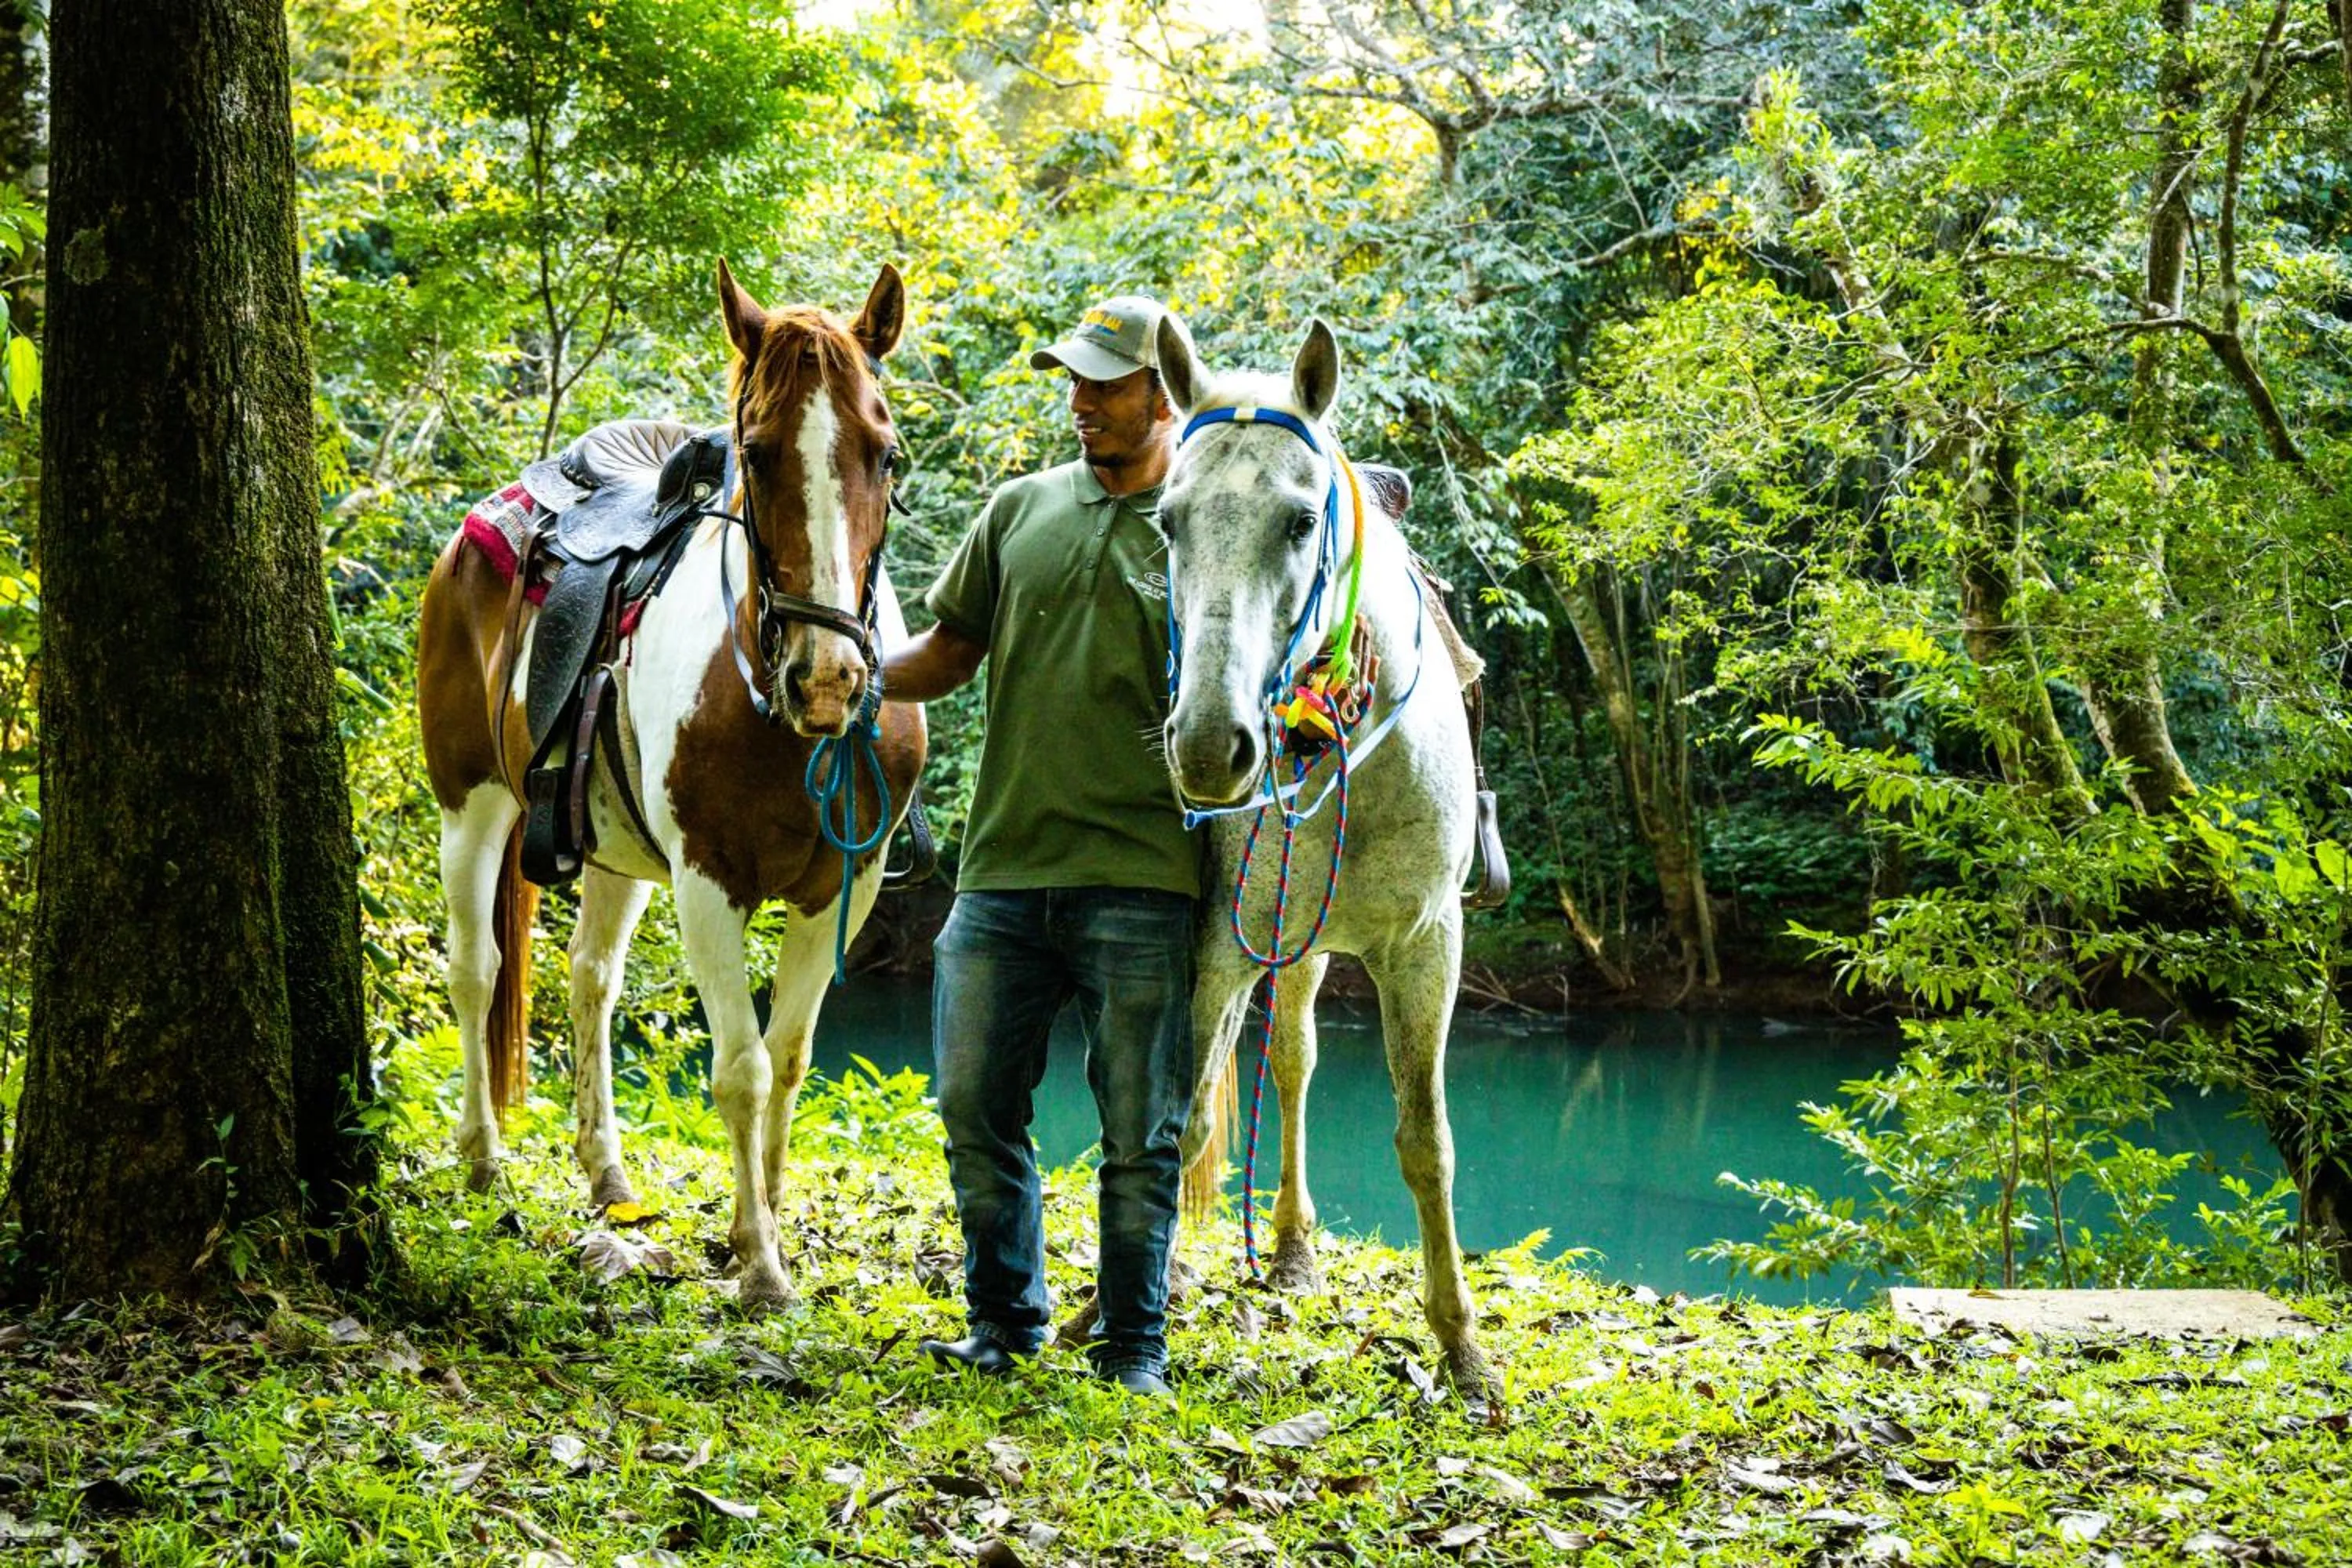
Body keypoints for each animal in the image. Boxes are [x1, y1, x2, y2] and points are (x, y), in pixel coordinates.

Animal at [415, 263, 926, 1310]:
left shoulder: (840, 891)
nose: (827, 680)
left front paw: (759, 1223)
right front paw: (761, 1262)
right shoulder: (707, 883)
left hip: (611, 853)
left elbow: (791, 1056)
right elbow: (740, 1069)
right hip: (471, 809)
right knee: (477, 972)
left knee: (590, 979)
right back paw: (482, 1157)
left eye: (887, 453)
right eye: (756, 453)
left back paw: (608, 1175)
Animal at [1151, 313, 1499, 1404]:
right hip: (1287, 944)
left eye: (1301, 522)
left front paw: (1461, 1345)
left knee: (1298, 1061)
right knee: (1288, 1060)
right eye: (1168, 522)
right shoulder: (1219, 945)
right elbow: (1183, 1112)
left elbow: (1428, 1141)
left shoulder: (1429, 945)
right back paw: (1273, 1243)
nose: (1210, 746)